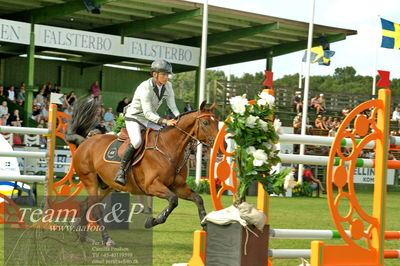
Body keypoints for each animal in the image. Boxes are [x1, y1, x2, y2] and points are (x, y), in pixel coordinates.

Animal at [65, 98, 219, 246]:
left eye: (217, 122)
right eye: (205, 122)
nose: (219, 144)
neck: (168, 148)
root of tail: (85, 142)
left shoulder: (179, 186)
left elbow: (198, 199)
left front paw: (205, 225)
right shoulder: (152, 186)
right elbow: (173, 200)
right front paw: (152, 221)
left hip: (105, 186)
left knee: (86, 205)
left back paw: (83, 235)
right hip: (90, 180)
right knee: (95, 209)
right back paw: (107, 239)